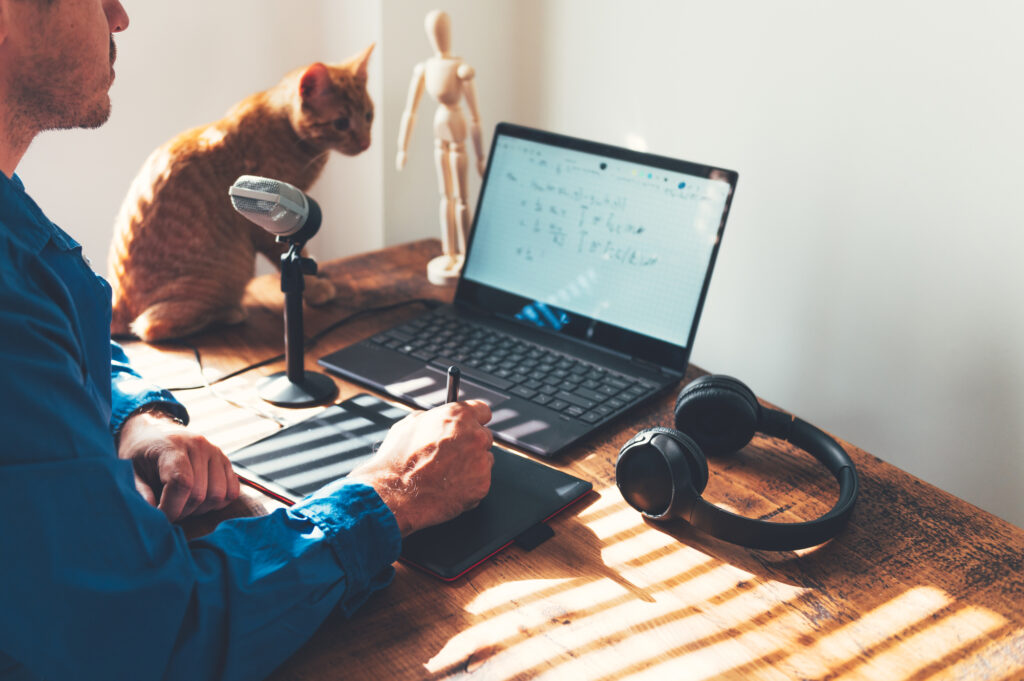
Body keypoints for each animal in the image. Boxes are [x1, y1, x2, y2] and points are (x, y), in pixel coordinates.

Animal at [110, 43, 374, 339]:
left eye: (368, 116)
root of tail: (116, 302)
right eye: (341, 123)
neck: (286, 129)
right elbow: (293, 254)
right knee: (151, 327)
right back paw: (229, 313)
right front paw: (316, 288)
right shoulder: (268, 228)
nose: (366, 143)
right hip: (230, 268)